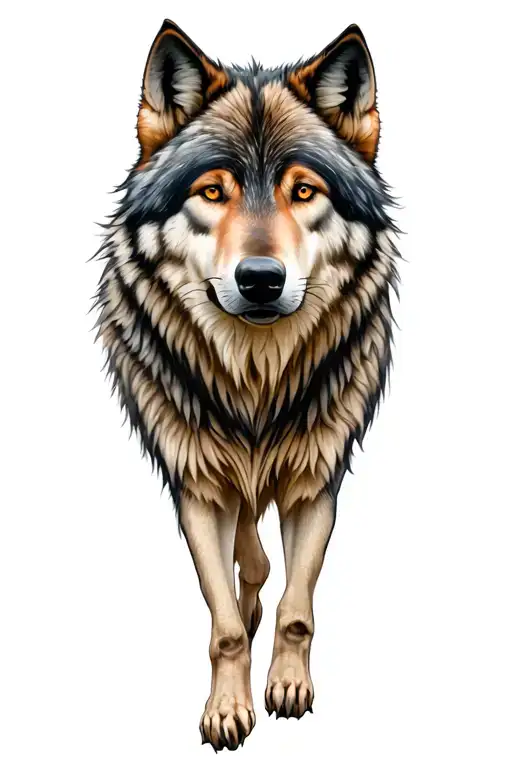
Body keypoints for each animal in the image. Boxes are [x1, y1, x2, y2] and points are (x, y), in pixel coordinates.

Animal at [93, 19, 399, 751]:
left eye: (304, 191)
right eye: (213, 192)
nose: (260, 279)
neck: (256, 377)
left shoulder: (316, 480)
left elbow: (297, 609)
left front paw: (287, 686)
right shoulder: (198, 487)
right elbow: (226, 627)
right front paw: (226, 710)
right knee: (248, 561)